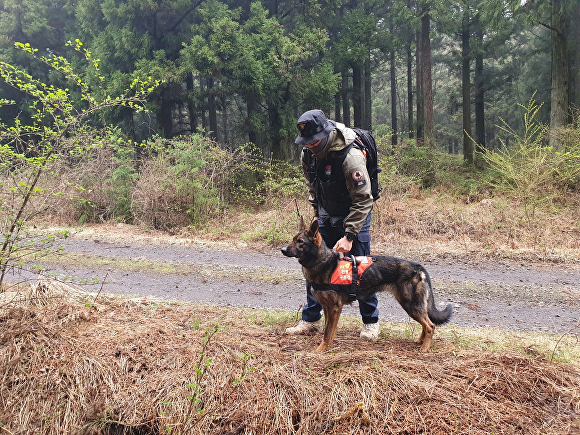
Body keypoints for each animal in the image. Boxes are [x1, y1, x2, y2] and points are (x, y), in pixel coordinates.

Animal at [280, 218, 454, 354]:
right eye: (293, 239)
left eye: (300, 242)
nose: (282, 250)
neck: (323, 263)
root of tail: (418, 267)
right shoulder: (328, 308)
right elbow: (329, 330)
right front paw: (327, 346)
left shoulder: (335, 308)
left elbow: (328, 332)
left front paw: (321, 350)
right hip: (413, 307)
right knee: (426, 324)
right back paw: (420, 341)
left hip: (410, 305)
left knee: (430, 325)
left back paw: (425, 347)